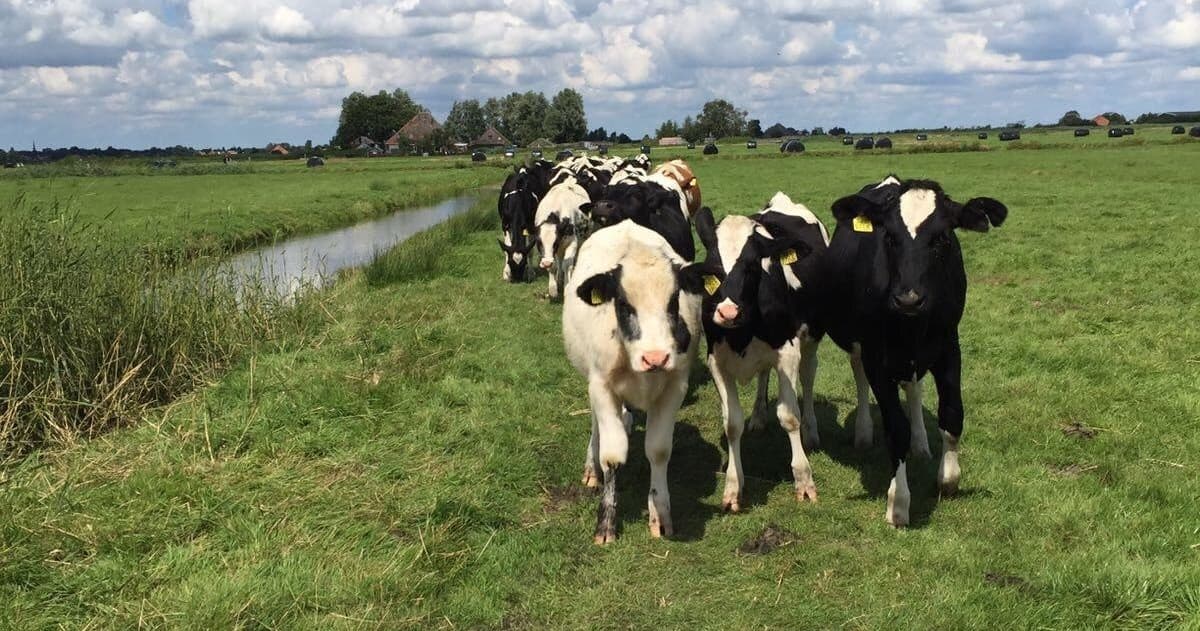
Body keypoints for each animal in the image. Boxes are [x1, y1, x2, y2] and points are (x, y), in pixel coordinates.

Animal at [562, 220, 708, 543]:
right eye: (624, 303)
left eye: (673, 301)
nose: (655, 358)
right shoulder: (602, 387)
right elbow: (612, 456)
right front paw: (606, 522)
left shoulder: (675, 387)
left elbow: (659, 450)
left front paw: (660, 514)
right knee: (597, 426)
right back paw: (591, 467)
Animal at [816, 175, 1008, 526]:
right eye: (890, 237)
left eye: (942, 237)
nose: (908, 298)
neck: (912, 324)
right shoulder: (877, 357)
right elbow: (896, 428)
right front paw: (899, 501)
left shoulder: (949, 347)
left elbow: (952, 414)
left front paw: (949, 479)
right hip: (858, 345)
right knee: (860, 376)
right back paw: (863, 433)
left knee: (914, 388)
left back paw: (920, 443)